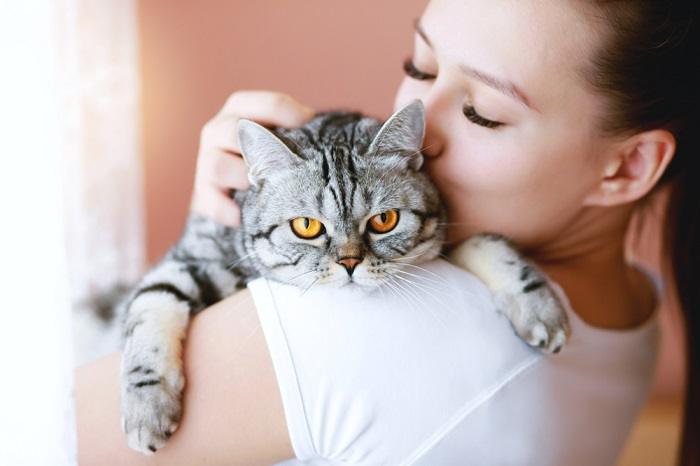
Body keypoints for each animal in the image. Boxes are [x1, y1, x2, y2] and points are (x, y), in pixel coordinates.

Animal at [120, 100, 568, 454]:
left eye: (384, 221)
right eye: (306, 226)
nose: (350, 262)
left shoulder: (441, 240)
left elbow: (486, 242)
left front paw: (537, 304)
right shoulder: (194, 257)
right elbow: (150, 307)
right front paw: (146, 406)